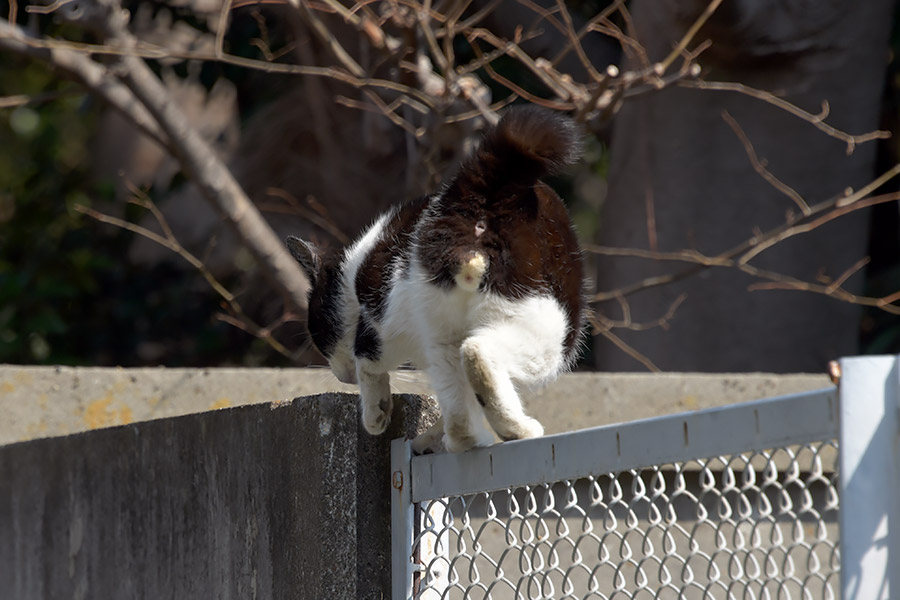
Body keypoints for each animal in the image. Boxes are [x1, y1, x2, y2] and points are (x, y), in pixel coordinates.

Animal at [284, 108, 588, 452]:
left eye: (318, 334)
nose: (342, 378)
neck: (357, 268)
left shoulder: (387, 322)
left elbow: (371, 362)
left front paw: (392, 421)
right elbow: (368, 358)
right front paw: (381, 416)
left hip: (442, 328)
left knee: (457, 407)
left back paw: (466, 440)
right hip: (546, 326)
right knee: (477, 353)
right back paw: (516, 430)